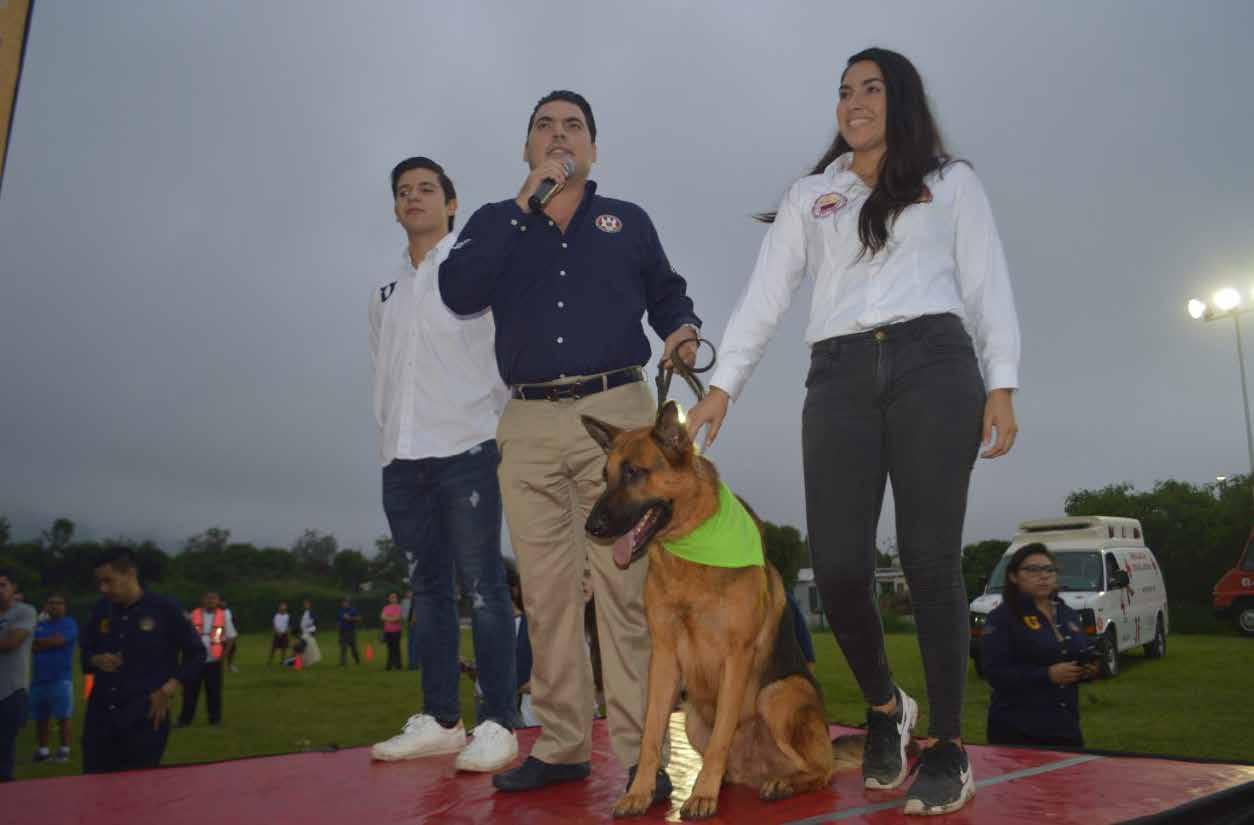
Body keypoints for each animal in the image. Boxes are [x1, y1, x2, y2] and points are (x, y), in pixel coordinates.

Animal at [583, 401, 860, 820]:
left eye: (634, 472)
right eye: (605, 476)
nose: (591, 526)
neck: (689, 552)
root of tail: (756, 770)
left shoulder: (736, 658)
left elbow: (719, 741)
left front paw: (701, 795)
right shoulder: (663, 659)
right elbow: (650, 735)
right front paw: (641, 792)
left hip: (778, 692)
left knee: (821, 770)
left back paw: (782, 783)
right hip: (694, 717)